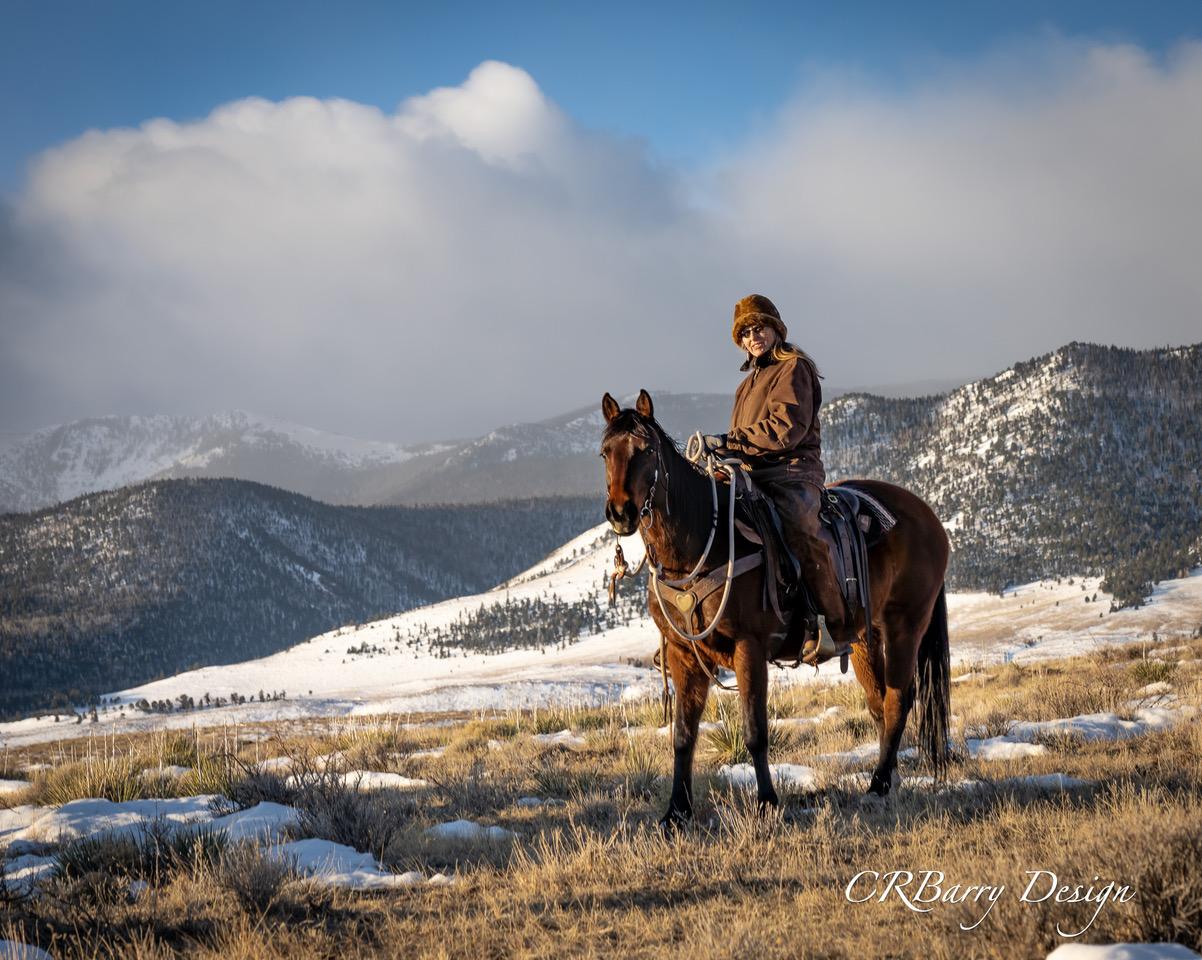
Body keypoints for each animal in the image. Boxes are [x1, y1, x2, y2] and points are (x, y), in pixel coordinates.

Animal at [601, 389, 947, 826]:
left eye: (646, 450)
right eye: (604, 452)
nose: (621, 513)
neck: (701, 542)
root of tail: (927, 514)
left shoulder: (749, 647)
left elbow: (755, 730)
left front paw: (767, 802)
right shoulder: (684, 653)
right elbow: (683, 734)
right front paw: (676, 811)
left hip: (906, 624)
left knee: (900, 698)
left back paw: (878, 785)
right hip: (866, 638)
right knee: (880, 703)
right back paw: (887, 781)